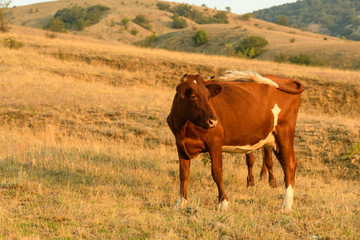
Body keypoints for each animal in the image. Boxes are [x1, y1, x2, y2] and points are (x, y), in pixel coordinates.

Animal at [167, 70, 302, 211]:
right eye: (193, 96)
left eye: (208, 96)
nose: (213, 121)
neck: (184, 127)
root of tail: (285, 79)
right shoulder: (180, 144)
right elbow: (184, 173)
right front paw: (181, 202)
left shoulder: (215, 142)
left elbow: (217, 172)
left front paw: (223, 203)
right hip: (274, 140)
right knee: (285, 164)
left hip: (285, 132)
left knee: (289, 164)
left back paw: (286, 205)